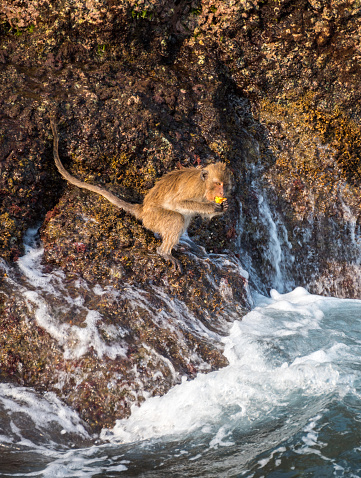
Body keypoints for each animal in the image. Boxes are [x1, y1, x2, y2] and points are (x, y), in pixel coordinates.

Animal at [50, 118, 231, 270]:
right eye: (218, 184)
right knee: (177, 218)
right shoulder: (194, 188)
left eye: (225, 185)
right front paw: (212, 207)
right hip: (153, 219)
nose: (222, 192)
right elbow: (178, 202)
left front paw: (223, 206)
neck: (204, 186)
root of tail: (143, 210)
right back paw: (164, 252)